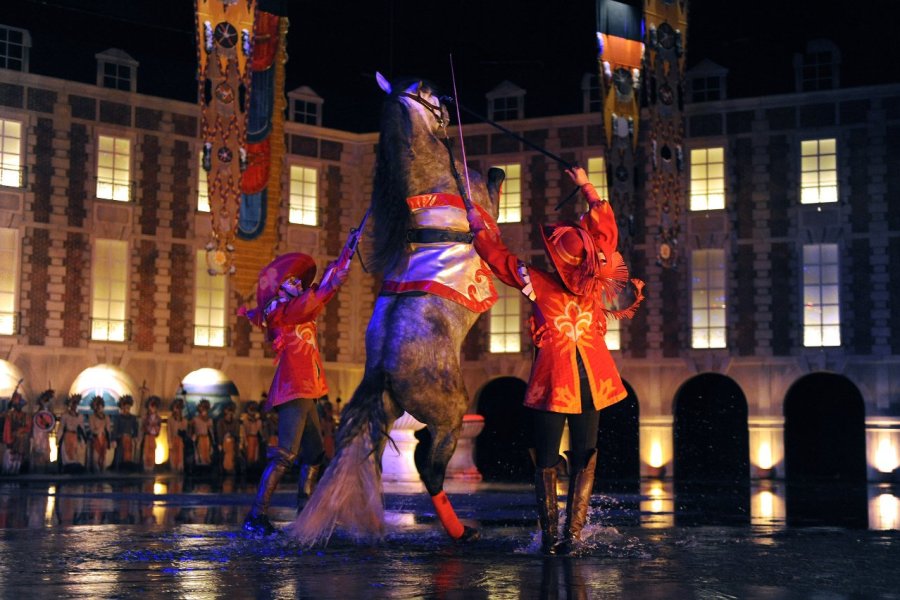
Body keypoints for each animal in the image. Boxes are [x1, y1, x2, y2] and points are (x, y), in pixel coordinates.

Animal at [292, 74, 510, 544]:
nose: (449, 101)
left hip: (395, 412)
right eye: (427, 89)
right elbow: (494, 182)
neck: (431, 184)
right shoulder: (486, 209)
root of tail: (384, 372)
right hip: (449, 414)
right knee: (430, 470)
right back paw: (461, 532)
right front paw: (495, 169)